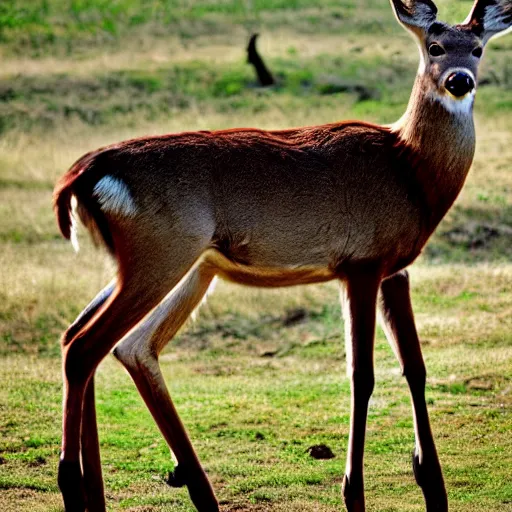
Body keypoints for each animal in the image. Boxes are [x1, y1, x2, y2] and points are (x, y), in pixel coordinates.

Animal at [52, 1, 512, 512]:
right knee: (86, 345)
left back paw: (140, 490)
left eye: (477, 49)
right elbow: (362, 374)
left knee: (114, 342)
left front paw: (432, 482)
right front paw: (353, 490)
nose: (459, 80)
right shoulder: (361, 263)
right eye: (434, 46)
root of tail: (84, 174)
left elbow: (415, 366)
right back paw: (73, 483)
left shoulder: (397, 269)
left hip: (175, 265)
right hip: (161, 253)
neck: (410, 171)